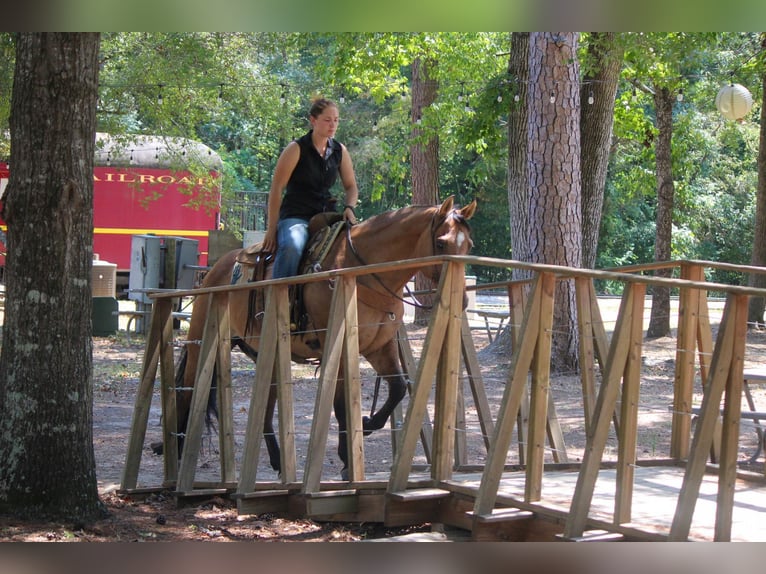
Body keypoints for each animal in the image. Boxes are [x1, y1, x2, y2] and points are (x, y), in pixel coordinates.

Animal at [171, 196, 476, 480]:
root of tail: (217, 268)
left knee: (266, 407)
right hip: (201, 342)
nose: (461, 300)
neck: (362, 272)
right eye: (441, 243)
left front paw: (367, 424)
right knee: (188, 390)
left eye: (469, 245)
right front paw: (347, 459)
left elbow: (398, 388)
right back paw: (176, 449)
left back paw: (278, 461)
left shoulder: (380, 347)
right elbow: (341, 407)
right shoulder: (339, 348)